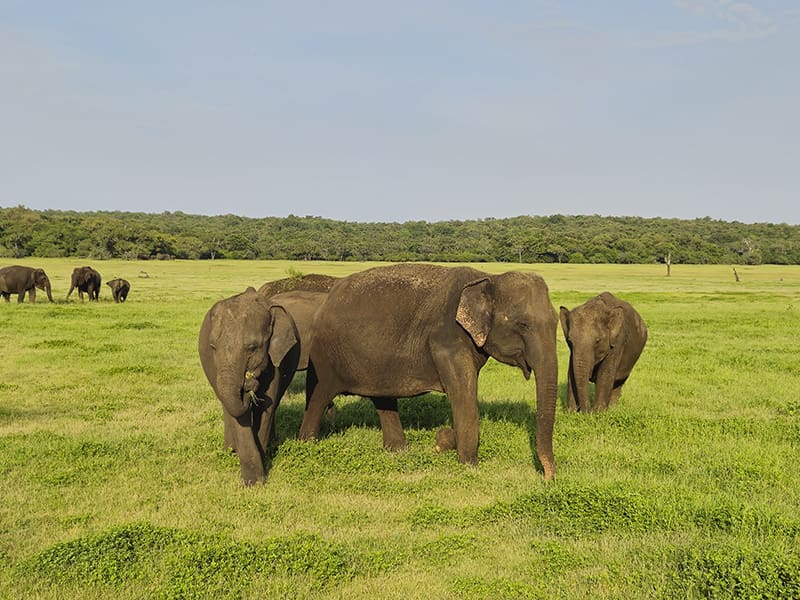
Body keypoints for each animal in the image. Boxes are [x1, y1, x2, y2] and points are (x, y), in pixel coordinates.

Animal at [198, 288, 329, 485]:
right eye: (213, 346)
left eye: (252, 347)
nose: (248, 383)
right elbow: (239, 415)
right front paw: (254, 481)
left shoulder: (277, 358)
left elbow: (267, 404)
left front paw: (261, 466)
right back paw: (230, 451)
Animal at [298, 263, 559, 480]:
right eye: (523, 324)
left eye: (556, 321)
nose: (546, 479)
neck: (486, 277)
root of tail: (326, 300)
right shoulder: (446, 340)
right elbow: (463, 394)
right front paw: (466, 463)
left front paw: (446, 442)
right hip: (323, 356)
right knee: (319, 397)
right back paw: (306, 445)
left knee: (383, 400)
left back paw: (397, 451)